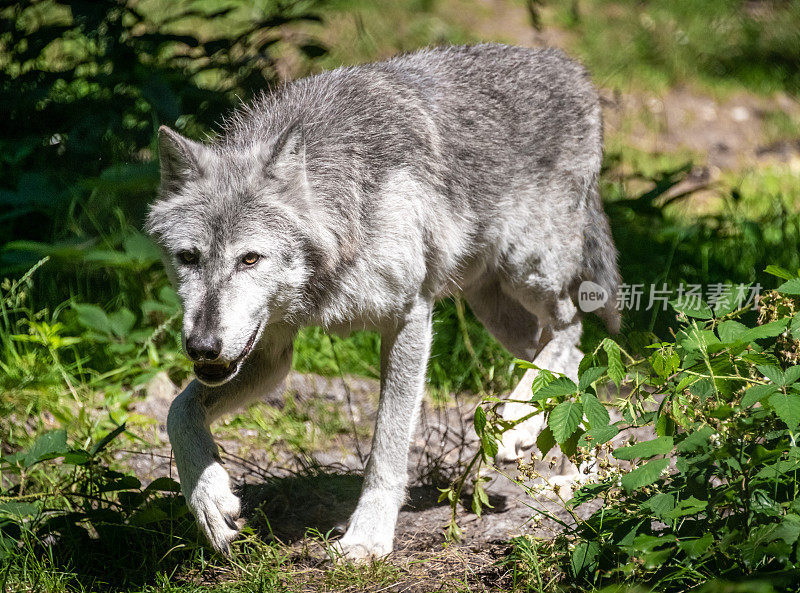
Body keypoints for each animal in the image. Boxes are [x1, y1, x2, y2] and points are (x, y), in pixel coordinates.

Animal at [145, 44, 620, 556]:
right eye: (188, 257)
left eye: (250, 259)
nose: (202, 347)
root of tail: (572, 67)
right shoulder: (270, 356)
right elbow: (178, 410)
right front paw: (209, 502)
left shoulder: (409, 317)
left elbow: (387, 446)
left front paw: (366, 539)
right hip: (493, 309)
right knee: (565, 360)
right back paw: (574, 468)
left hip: (525, 271)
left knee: (571, 329)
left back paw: (521, 426)